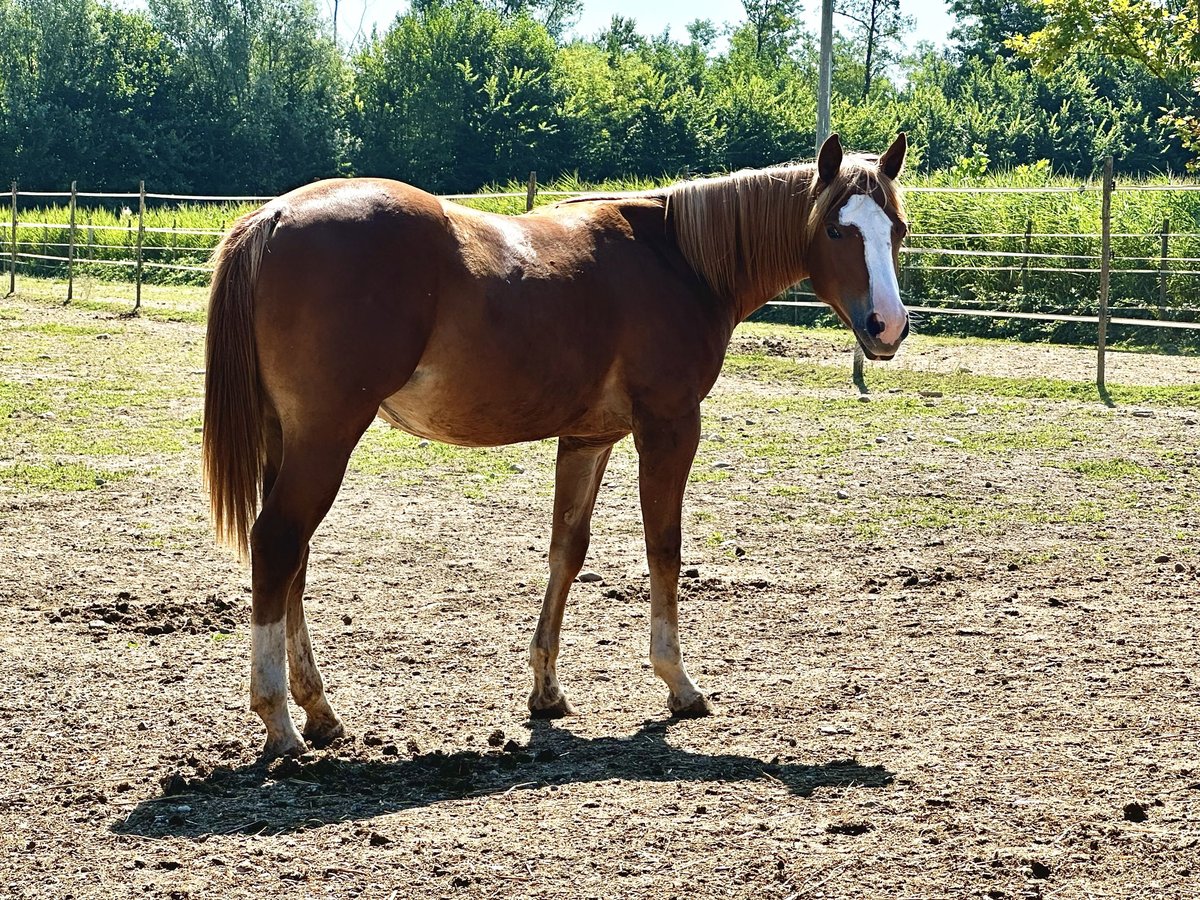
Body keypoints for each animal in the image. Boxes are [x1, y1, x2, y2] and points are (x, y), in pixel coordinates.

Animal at [201, 130, 907, 758]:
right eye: (838, 230)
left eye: (896, 230)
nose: (888, 326)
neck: (677, 259)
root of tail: (274, 215)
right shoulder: (670, 426)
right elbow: (664, 548)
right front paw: (678, 684)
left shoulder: (588, 438)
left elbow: (567, 550)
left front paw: (546, 690)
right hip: (327, 437)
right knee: (278, 544)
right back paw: (279, 720)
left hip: (291, 441)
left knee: (293, 560)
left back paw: (320, 712)